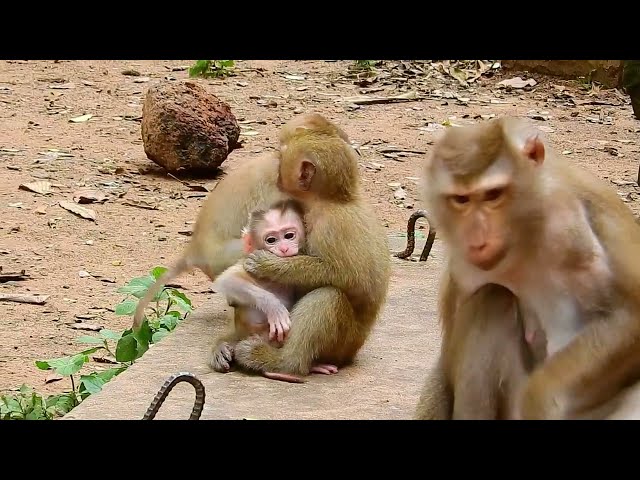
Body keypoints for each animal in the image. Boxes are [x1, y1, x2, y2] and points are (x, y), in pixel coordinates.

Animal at [230, 117, 390, 378]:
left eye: (281, 155)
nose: (276, 169)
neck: (330, 201)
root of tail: (352, 352)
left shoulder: (331, 227)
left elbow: (347, 275)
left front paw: (268, 265)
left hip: (341, 344)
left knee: (327, 297)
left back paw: (282, 363)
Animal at [416, 117, 640, 420]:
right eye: (461, 200)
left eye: (493, 194)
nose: (477, 237)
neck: (523, 235)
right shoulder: (463, 264)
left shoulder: (568, 224)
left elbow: (629, 312)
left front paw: (539, 396)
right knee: (493, 296)